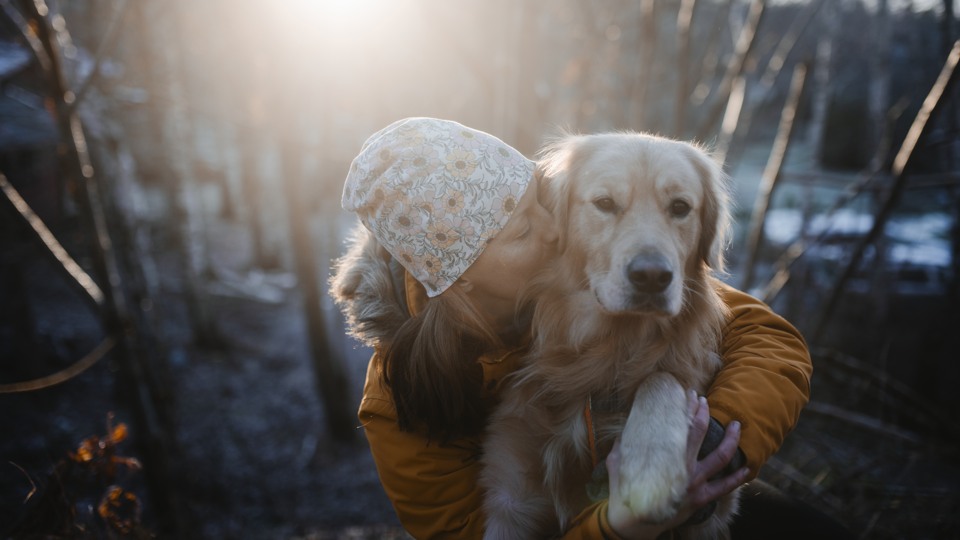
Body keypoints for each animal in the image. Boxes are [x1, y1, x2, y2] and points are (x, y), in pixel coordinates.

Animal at [484, 132, 740, 540]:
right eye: (605, 203)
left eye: (680, 207)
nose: (652, 277)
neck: (611, 350)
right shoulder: (510, 495)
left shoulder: (714, 510)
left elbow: (661, 377)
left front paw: (650, 470)